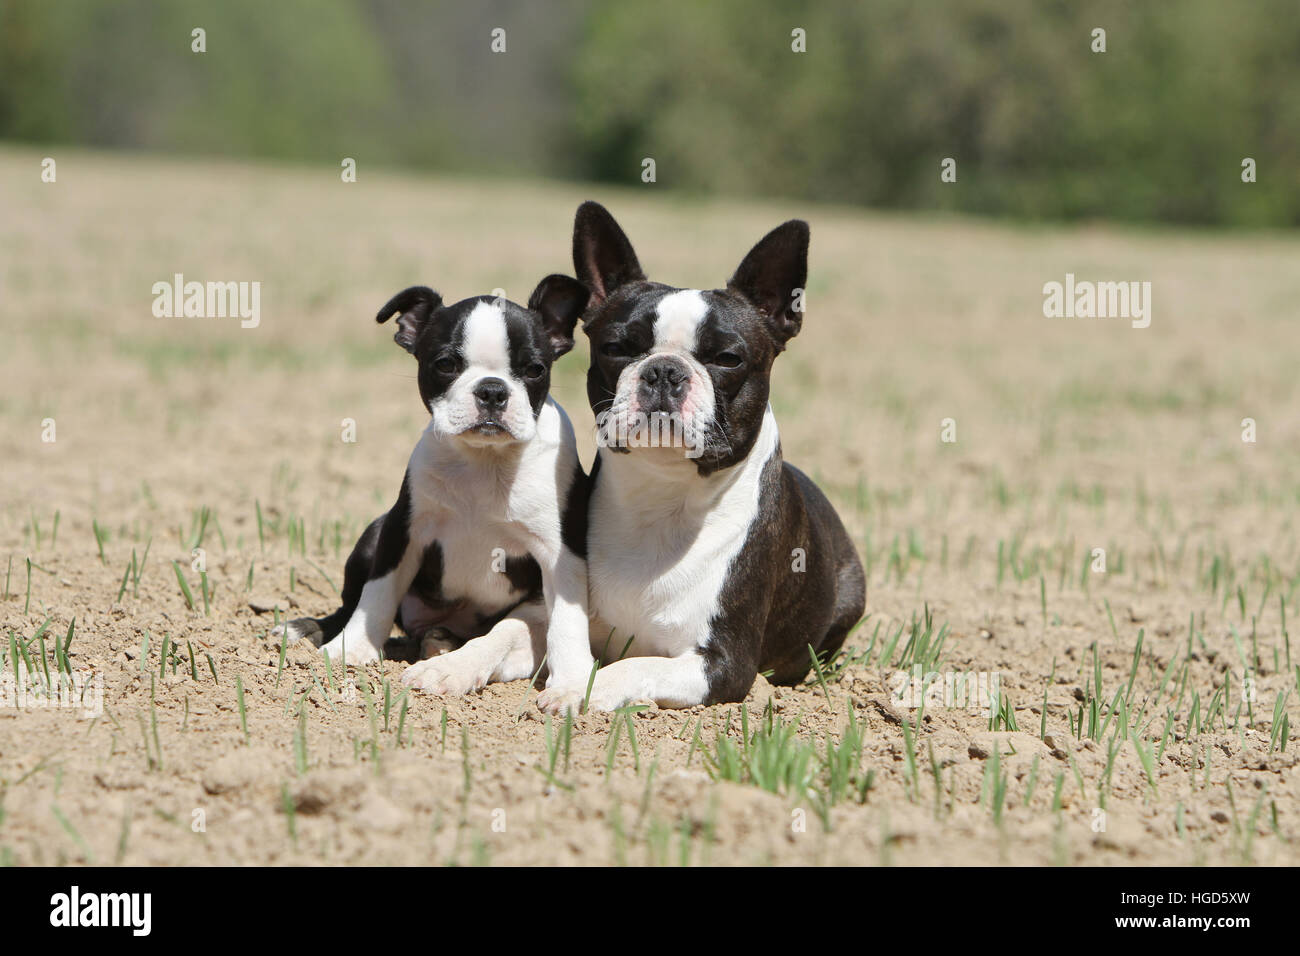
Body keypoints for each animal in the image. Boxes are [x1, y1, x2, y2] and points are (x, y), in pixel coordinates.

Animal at [282, 273, 595, 697]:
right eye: (445, 364)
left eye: (534, 369)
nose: (493, 389)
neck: (485, 461)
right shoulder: (403, 529)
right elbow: (377, 593)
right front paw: (351, 648)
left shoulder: (561, 552)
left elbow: (567, 618)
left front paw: (572, 681)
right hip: (375, 531)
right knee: (349, 605)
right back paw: (306, 629)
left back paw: (440, 641)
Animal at [535, 204, 863, 712]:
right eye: (616, 349)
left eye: (728, 359)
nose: (664, 370)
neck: (664, 496)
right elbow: (511, 632)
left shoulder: (722, 663)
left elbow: (631, 667)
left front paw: (577, 689)